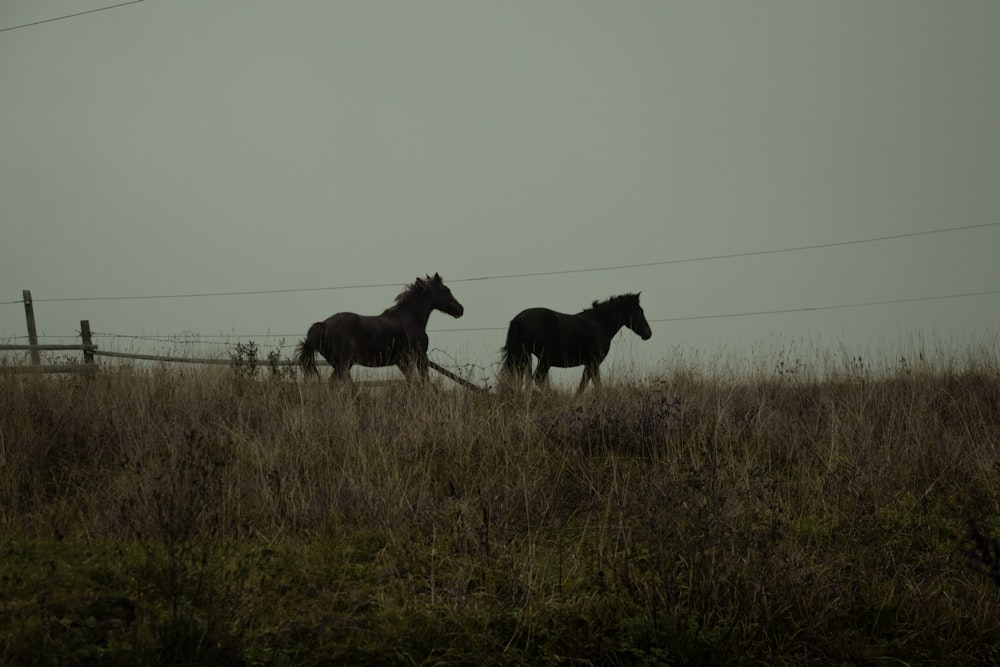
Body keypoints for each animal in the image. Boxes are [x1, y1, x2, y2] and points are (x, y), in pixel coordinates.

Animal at [296, 272, 464, 386]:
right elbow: (422, 382)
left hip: (342, 365)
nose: (460, 309)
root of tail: (322, 325)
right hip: (343, 363)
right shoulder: (419, 357)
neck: (410, 318)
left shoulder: (402, 362)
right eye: (446, 290)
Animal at [498, 290, 652, 394]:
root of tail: (517, 320)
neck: (600, 324)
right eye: (639, 310)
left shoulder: (590, 364)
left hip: (523, 357)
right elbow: (590, 385)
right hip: (544, 359)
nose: (648, 333)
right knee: (538, 378)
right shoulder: (593, 363)